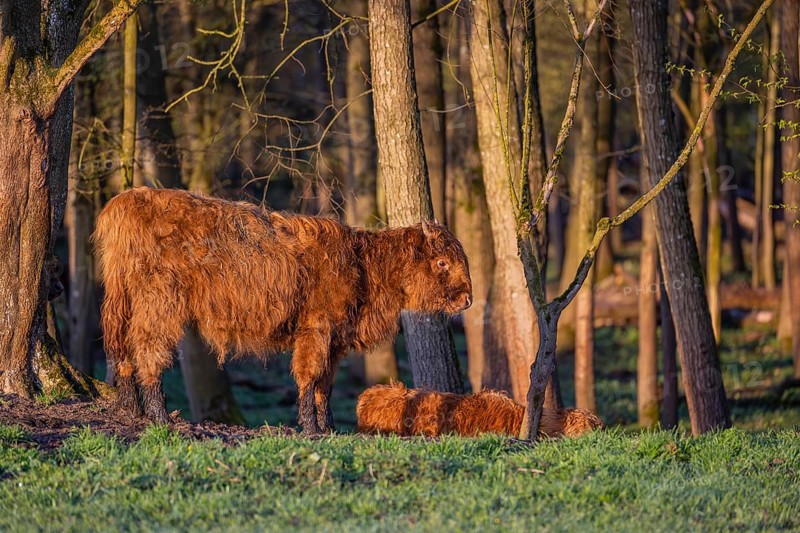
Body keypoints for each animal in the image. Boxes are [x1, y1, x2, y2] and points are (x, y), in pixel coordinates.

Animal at [93, 188, 472, 434]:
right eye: (442, 262)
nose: (467, 299)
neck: (363, 265)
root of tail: (128, 199)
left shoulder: (335, 341)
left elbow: (325, 385)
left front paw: (328, 427)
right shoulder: (316, 328)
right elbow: (309, 377)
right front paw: (311, 428)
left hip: (124, 300)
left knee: (122, 348)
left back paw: (131, 407)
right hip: (159, 301)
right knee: (148, 348)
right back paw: (158, 415)